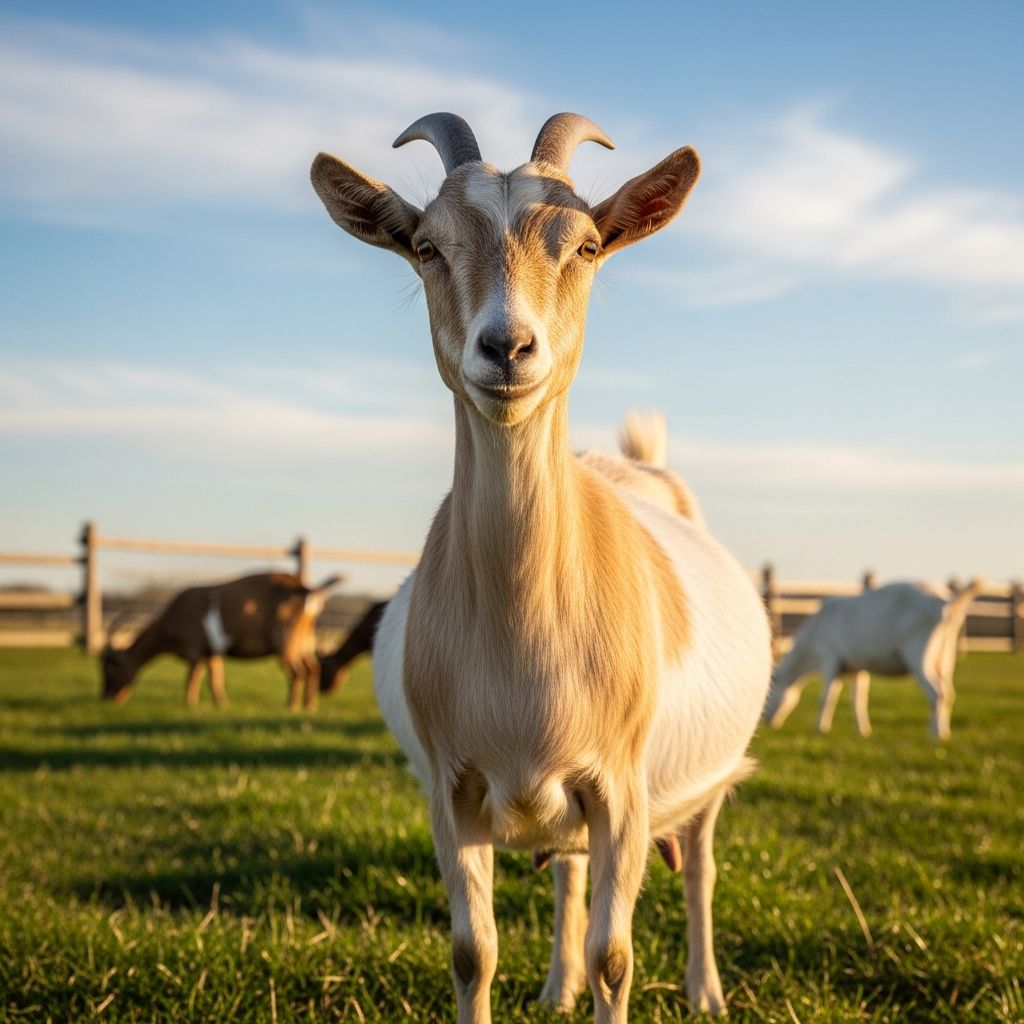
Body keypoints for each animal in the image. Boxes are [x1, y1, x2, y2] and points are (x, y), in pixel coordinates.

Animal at [100, 572, 341, 709]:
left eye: (111, 667)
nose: (107, 697)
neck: (170, 620)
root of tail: (305, 588)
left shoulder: (194, 649)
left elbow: (192, 677)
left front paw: (189, 704)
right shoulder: (212, 652)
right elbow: (215, 678)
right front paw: (222, 704)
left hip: (286, 641)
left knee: (297, 671)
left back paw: (291, 706)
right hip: (304, 641)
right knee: (312, 668)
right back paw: (310, 706)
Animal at [312, 112, 771, 1022]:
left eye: (587, 246)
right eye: (426, 246)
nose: (508, 347)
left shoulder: (623, 792)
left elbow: (616, 956)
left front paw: (626, 979)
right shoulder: (452, 792)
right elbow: (472, 951)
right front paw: (537, 976)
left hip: (707, 778)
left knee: (700, 868)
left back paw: (704, 989)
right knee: (568, 874)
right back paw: (557, 988)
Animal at [763, 579, 982, 740]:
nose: (765, 721)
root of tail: (947, 603)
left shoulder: (830, 659)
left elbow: (826, 697)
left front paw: (820, 729)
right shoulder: (856, 667)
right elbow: (858, 698)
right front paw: (862, 731)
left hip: (919, 649)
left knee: (937, 692)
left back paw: (934, 735)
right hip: (945, 654)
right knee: (948, 691)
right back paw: (943, 731)